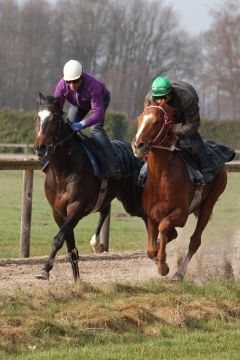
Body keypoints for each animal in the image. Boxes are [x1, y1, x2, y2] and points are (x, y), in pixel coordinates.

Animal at [34, 93, 146, 282]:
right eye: (37, 118)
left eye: (54, 119)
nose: (39, 147)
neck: (63, 171)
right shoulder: (58, 212)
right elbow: (70, 247)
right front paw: (77, 282)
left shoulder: (77, 207)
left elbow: (58, 239)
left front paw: (45, 269)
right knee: (105, 210)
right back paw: (97, 243)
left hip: (131, 200)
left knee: (147, 215)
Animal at [132, 102, 230, 280]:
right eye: (139, 119)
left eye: (156, 122)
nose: (138, 145)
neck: (161, 178)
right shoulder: (151, 215)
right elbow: (151, 248)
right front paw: (158, 257)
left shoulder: (181, 214)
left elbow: (164, 226)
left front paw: (163, 266)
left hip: (209, 203)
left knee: (195, 240)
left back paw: (180, 272)